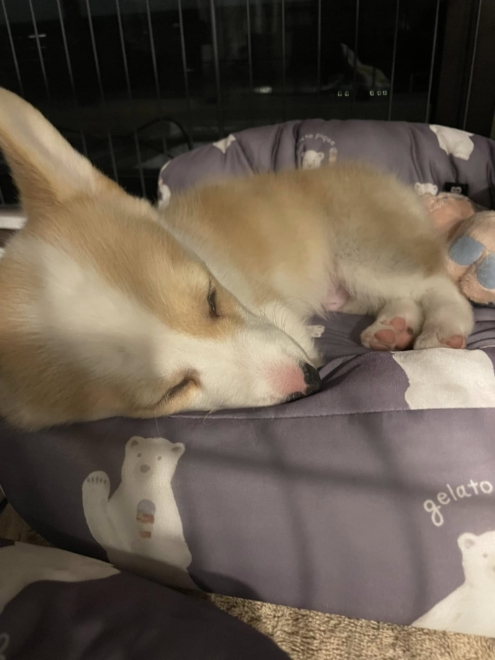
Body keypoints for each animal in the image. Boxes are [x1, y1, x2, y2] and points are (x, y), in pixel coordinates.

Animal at [0, 88, 473, 430]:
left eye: (211, 298)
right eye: (169, 393)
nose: (310, 379)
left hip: (364, 254)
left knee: (436, 282)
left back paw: (444, 326)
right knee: (403, 294)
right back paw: (394, 327)